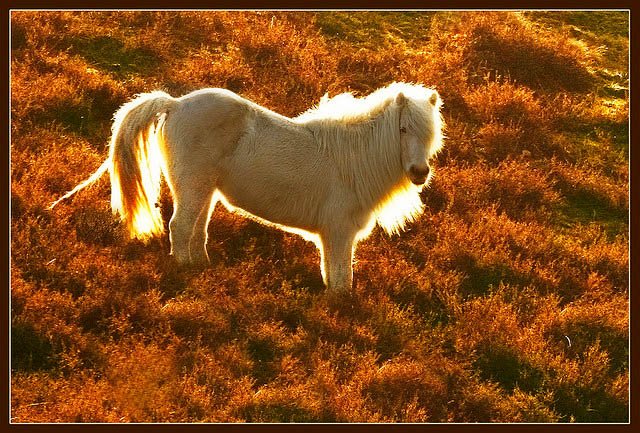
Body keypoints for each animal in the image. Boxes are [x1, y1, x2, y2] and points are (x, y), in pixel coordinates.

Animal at [50, 83, 442, 294]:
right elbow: (340, 280)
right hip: (193, 187)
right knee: (180, 228)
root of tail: (175, 104)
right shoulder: (339, 233)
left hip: (204, 191)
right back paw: (183, 274)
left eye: (431, 132)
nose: (419, 173)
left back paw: (201, 268)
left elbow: (332, 275)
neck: (352, 158)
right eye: (403, 129)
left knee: (197, 231)